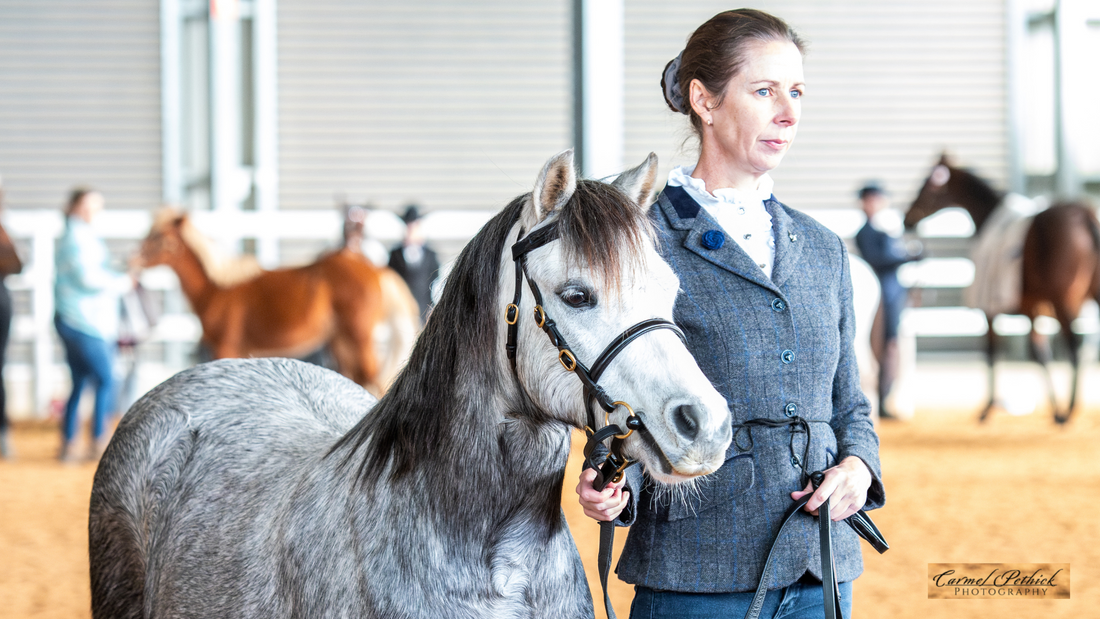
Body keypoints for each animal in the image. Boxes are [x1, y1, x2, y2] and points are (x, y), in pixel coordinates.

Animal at [136, 210, 420, 395]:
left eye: (159, 237)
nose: (132, 260)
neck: (217, 287)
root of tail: (375, 269)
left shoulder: (225, 347)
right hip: (341, 342)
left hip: (358, 338)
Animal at [904, 153, 1100, 424]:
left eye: (926, 186)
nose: (906, 218)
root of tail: (1083, 214)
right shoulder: (1032, 308)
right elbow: (1039, 354)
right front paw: (1053, 408)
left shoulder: (990, 310)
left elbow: (992, 352)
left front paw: (987, 409)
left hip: (1063, 300)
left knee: (1074, 348)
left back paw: (1069, 411)